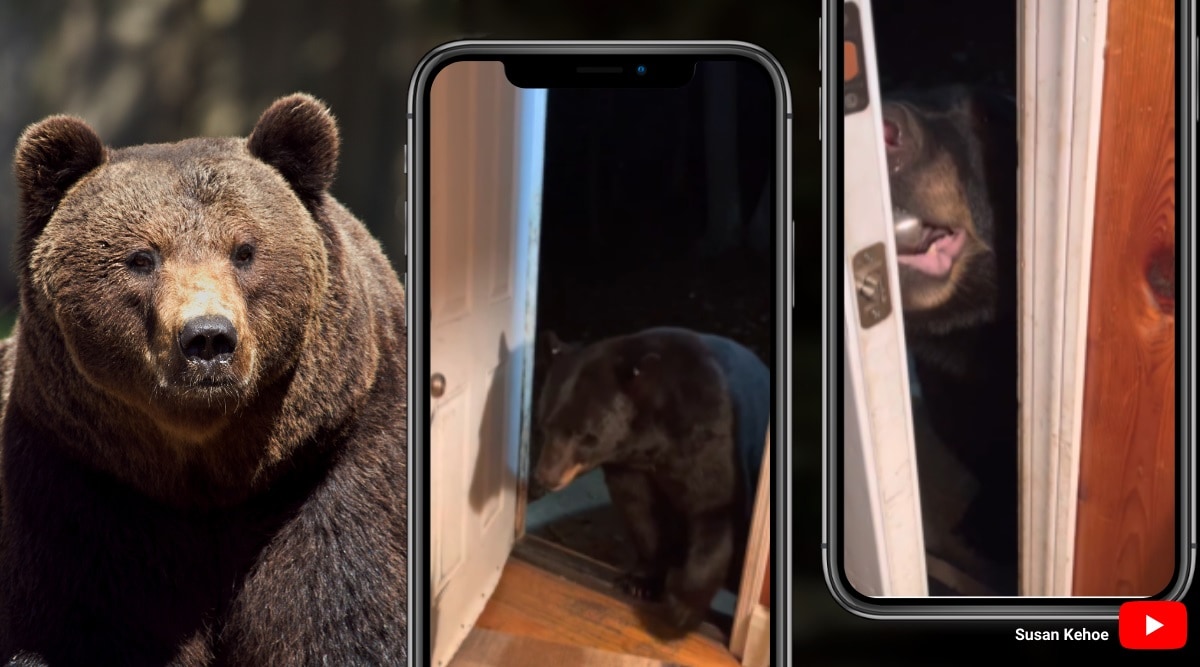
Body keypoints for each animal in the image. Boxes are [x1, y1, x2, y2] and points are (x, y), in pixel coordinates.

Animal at [0, 94, 408, 665]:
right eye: (142, 257)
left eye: (245, 250)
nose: (208, 338)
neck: (209, 480)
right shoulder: (79, 485)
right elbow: (77, 628)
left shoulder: (334, 465)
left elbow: (342, 618)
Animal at [532, 326, 770, 633]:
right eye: (544, 425)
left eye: (586, 435)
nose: (546, 477)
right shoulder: (628, 466)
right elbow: (640, 512)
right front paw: (641, 582)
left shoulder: (711, 438)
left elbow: (716, 509)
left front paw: (683, 608)